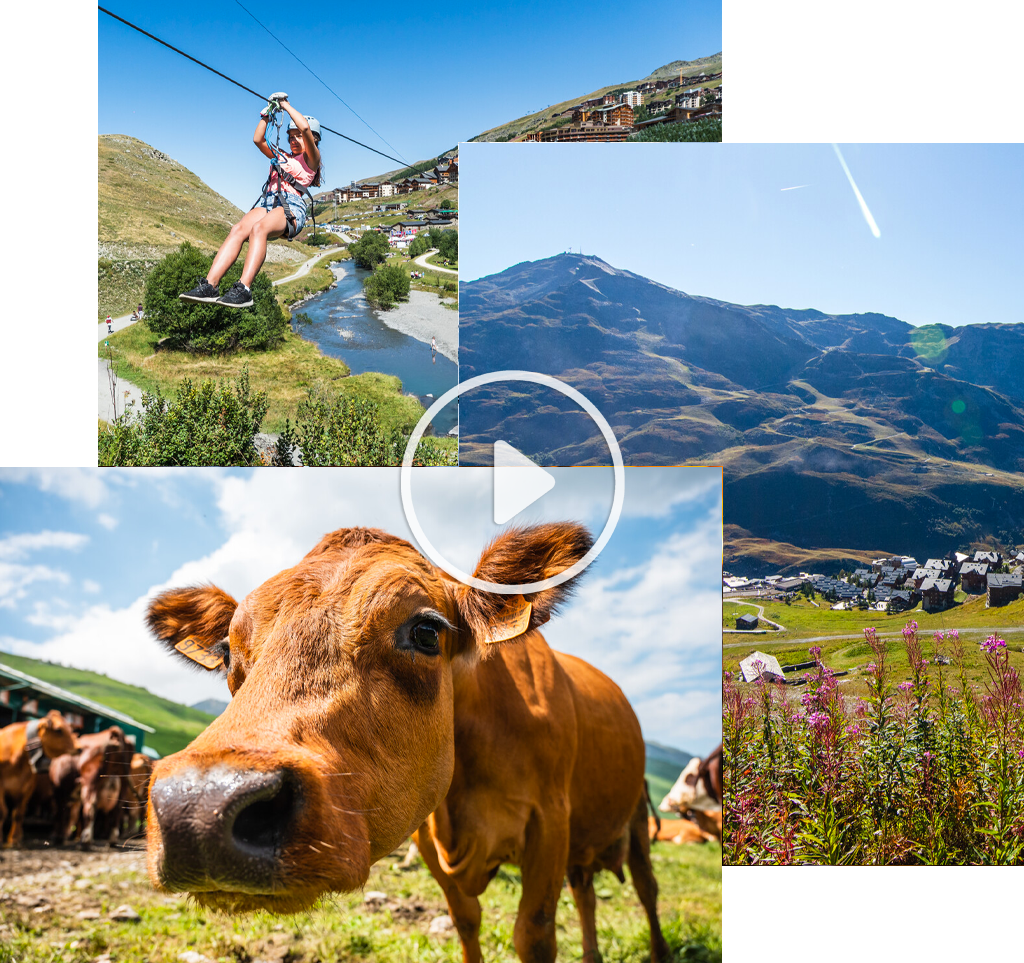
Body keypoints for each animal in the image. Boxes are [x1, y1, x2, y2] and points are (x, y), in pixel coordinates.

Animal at [0, 708, 75, 848]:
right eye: (59, 730)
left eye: (70, 728)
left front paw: (14, 839)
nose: (79, 747)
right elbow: (3, 812)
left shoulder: (28, 787)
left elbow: (18, 814)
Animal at [146, 528, 671, 963]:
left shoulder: (551, 820)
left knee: (646, 887)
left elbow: (534, 934)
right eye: (226, 652)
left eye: (425, 630)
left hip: (635, 817)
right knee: (586, 892)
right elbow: (466, 922)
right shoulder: (428, 837)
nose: (198, 805)